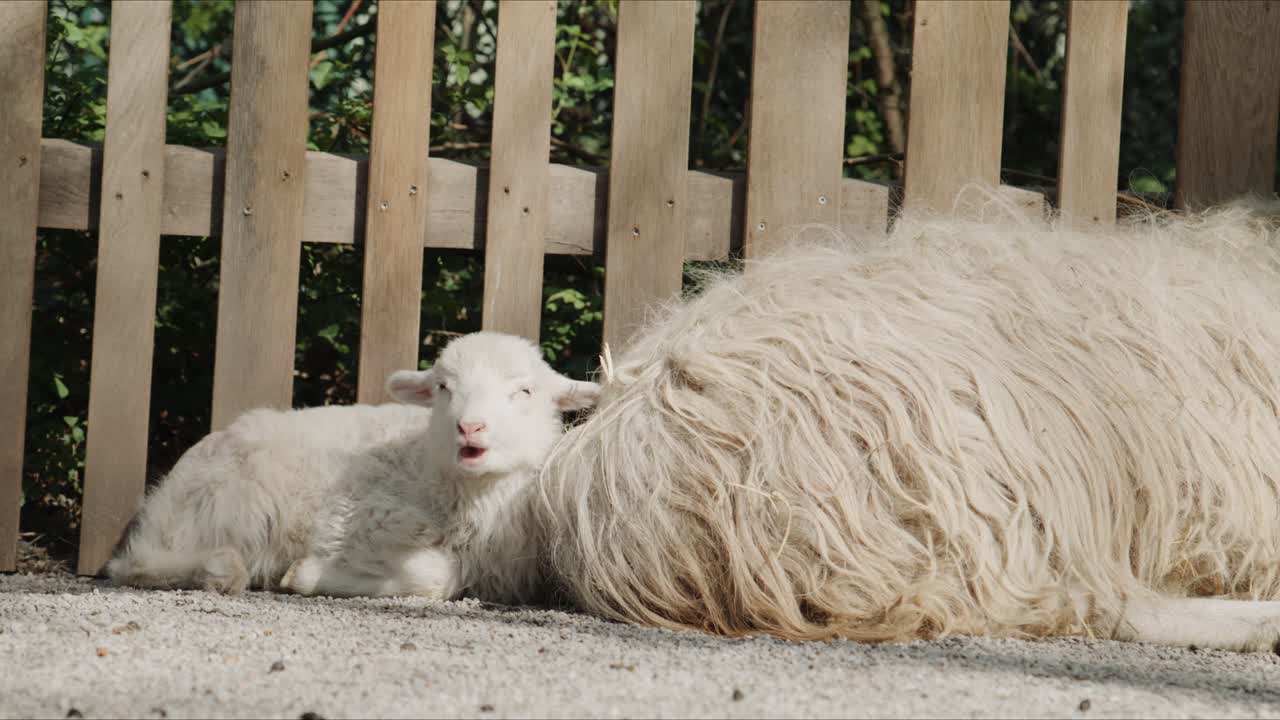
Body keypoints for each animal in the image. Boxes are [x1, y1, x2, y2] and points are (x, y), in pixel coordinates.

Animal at [107, 331, 601, 605]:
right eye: (443, 387)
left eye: (524, 392)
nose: (470, 426)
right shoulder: (352, 519)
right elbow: (432, 575)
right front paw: (304, 576)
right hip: (232, 504)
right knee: (134, 564)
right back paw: (221, 570)